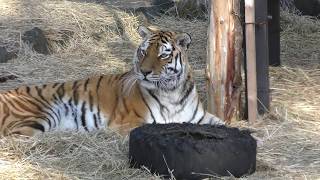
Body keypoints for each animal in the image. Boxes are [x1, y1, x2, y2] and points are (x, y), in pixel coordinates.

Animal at [0, 25, 225, 136]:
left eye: (163, 55)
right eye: (143, 52)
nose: (143, 72)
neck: (171, 92)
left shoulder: (200, 117)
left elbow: (225, 125)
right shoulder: (129, 123)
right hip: (38, 117)